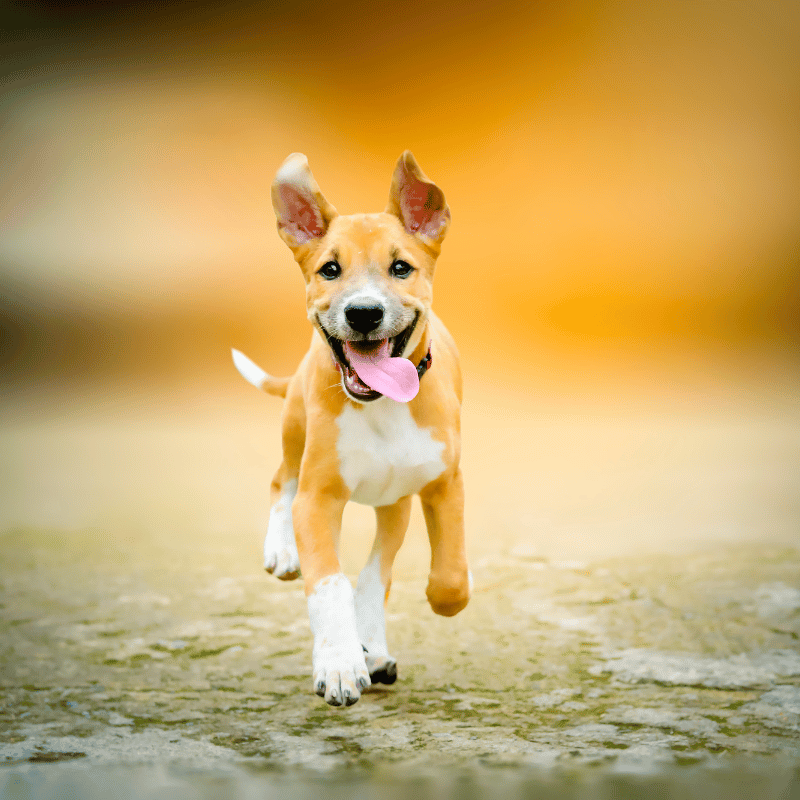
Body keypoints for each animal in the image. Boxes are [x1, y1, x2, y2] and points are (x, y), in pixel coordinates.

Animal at [231, 150, 468, 708]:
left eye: (401, 267)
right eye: (330, 269)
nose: (363, 313)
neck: (381, 405)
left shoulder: (441, 485)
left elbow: (441, 583)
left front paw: (365, 645)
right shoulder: (319, 500)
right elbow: (330, 584)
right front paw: (338, 663)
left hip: (394, 502)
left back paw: (373, 646)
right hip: (295, 428)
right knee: (280, 479)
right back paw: (282, 550)